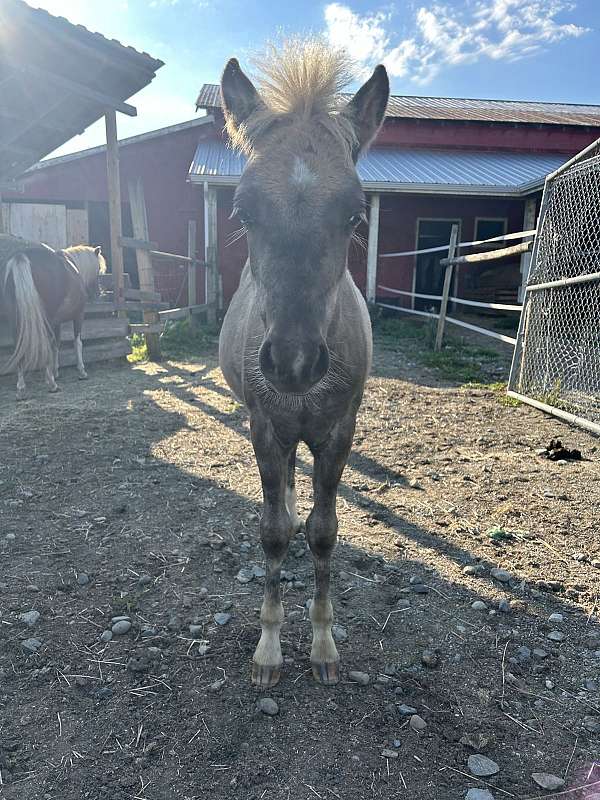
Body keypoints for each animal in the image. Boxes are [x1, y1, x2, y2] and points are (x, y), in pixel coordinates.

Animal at [1, 238, 106, 400]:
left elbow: (56, 344)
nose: (98, 293)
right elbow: (77, 342)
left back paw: (21, 388)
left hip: (16, 320)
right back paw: (51, 384)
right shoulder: (78, 315)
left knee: (19, 347)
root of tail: (22, 256)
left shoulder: (56, 323)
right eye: (98, 269)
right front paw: (81, 372)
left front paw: (56, 372)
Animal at [219, 40, 390, 684]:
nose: (292, 362)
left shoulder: (338, 432)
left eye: (355, 216)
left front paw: (322, 645)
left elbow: (323, 533)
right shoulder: (265, 427)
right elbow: (272, 534)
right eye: (243, 213)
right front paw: (268, 649)